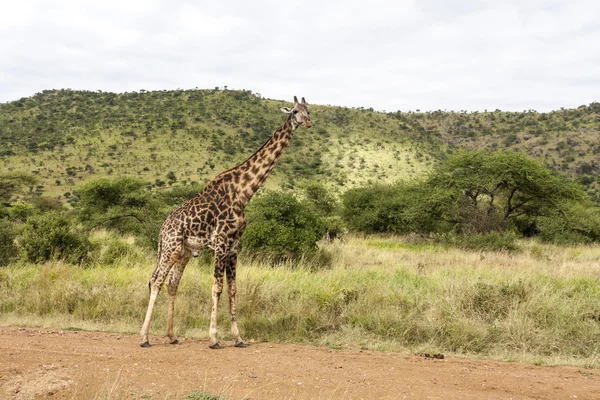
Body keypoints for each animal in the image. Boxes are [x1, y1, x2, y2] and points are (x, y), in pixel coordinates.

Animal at [139, 95, 312, 348]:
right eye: (295, 111)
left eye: (308, 110)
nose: (308, 122)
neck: (244, 193)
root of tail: (162, 228)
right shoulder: (221, 242)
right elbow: (217, 287)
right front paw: (214, 338)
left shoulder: (234, 246)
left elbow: (233, 290)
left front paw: (238, 338)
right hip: (171, 248)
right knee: (156, 280)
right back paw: (144, 337)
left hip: (183, 252)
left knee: (172, 284)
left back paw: (172, 336)